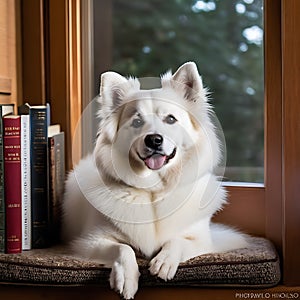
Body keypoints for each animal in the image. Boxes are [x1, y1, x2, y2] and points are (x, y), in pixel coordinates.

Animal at [62, 62, 247, 298]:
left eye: (171, 119)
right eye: (137, 121)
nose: (154, 140)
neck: (153, 190)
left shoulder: (202, 240)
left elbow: (178, 241)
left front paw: (165, 260)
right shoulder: (89, 241)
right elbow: (123, 248)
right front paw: (126, 277)